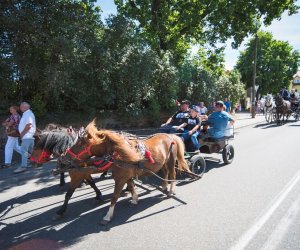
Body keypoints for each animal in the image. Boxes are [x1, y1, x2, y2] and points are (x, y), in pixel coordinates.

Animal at [58, 121, 190, 225]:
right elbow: (131, 187)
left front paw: (108, 216)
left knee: (172, 174)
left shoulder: (121, 178)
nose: (64, 157)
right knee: (166, 173)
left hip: (171, 161)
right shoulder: (126, 176)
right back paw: (163, 187)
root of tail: (171, 136)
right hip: (162, 163)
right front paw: (135, 200)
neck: (118, 154)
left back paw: (171, 191)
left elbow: (115, 196)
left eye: (81, 144)